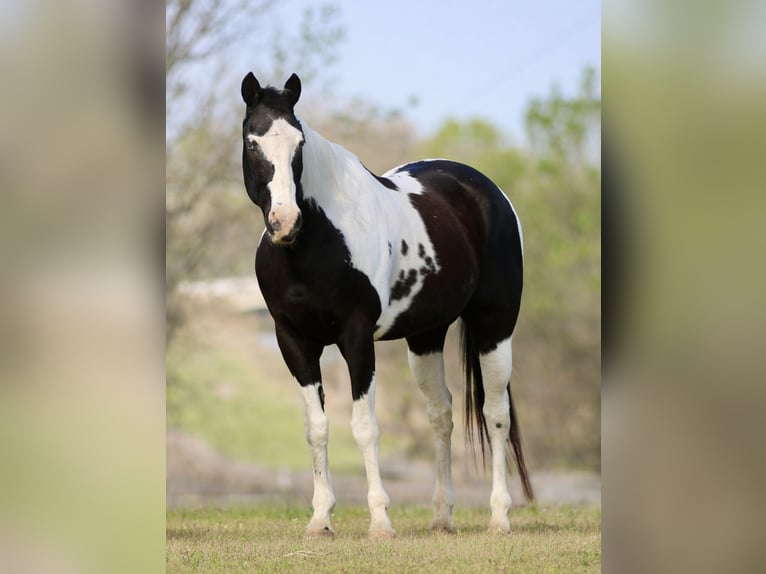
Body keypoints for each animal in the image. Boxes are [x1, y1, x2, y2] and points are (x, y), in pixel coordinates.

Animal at [240, 72, 533, 538]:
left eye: (299, 143)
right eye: (253, 142)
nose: (285, 222)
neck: (314, 245)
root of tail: (487, 191)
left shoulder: (357, 338)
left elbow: (364, 427)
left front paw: (380, 520)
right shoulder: (293, 341)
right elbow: (316, 429)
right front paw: (320, 519)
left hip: (495, 326)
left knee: (495, 414)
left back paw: (499, 516)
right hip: (426, 337)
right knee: (441, 414)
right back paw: (441, 516)